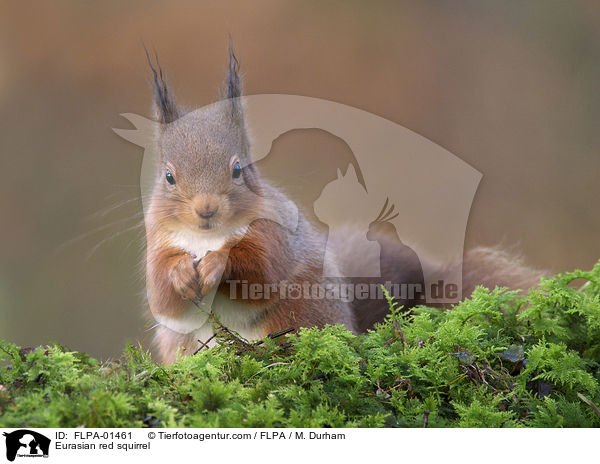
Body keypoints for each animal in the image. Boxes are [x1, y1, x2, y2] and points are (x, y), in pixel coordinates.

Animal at [142, 44, 544, 362]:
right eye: (169, 176)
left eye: (238, 169)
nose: (205, 209)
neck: (208, 237)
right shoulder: (157, 242)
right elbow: (162, 298)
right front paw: (181, 273)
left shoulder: (277, 234)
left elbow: (262, 272)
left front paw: (218, 263)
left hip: (297, 314)